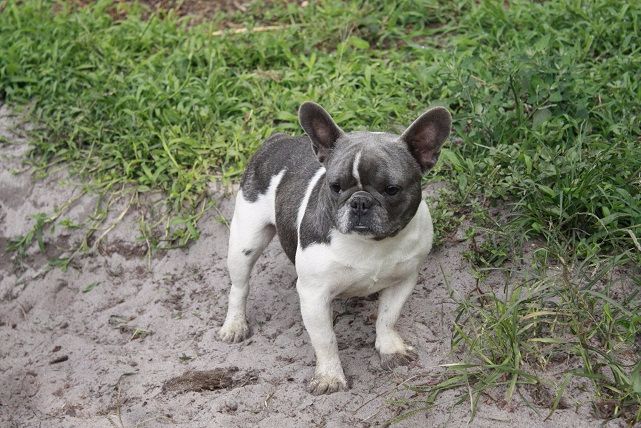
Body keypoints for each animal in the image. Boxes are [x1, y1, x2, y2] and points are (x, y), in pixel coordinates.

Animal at [219, 102, 450, 396]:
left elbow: (388, 317)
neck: (372, 243)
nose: (360, 201)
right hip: (245, 241)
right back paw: (235, 325)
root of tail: (278, 140)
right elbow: (325, 339)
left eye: (391, 189)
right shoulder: (314, 295)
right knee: (239, 286)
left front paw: (390, 348)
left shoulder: (404, 279)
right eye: (335, 187)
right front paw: (329, 376)